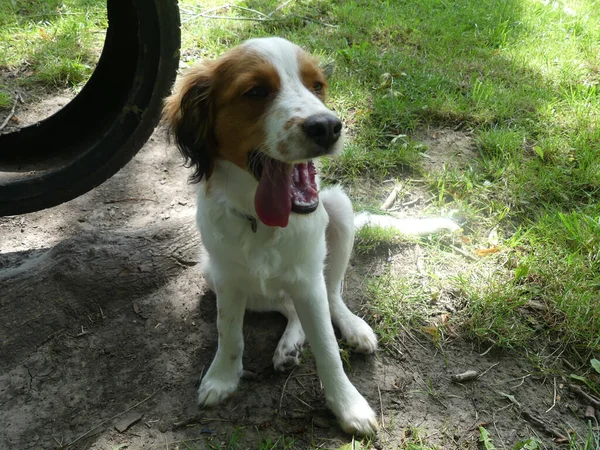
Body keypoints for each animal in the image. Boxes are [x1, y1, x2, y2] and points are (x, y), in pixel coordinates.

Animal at [162, 37, 458, 434]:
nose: (328, 127)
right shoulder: (228, 279)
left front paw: (348, 406)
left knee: (332, 295)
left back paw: (351, 327)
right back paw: (288, 346)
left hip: (339, 212)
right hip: (215, 273)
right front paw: (222, 378)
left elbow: (327, 347)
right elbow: (229, 332)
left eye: (317, 86)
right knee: (289, 309)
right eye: (256, 91)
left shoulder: (308, 280)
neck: (263, 222)